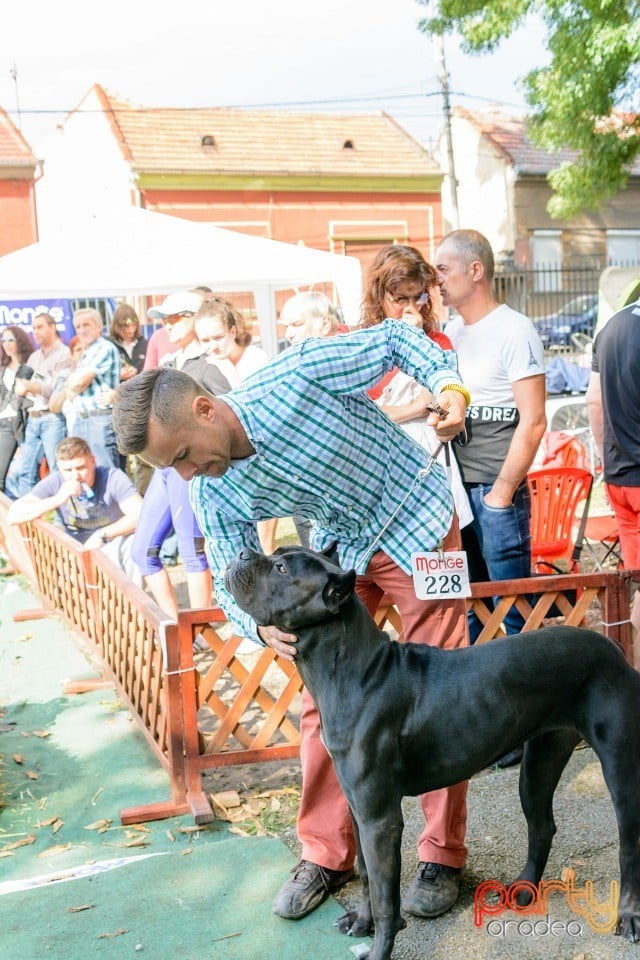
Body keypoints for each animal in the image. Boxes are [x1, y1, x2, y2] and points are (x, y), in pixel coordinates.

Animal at [224, 544, 640, 956]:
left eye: (281, 568)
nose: (241, 553)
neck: (354, 671)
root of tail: (613, 647)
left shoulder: (380, 820)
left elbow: (385, 898)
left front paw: (379, 947)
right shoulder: (358, 810)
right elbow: (365, 874)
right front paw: (361, 921)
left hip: (619, 769)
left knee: (628, 845)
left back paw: (628, 917)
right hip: (540, 760)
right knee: (542, 827)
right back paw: (524, 890)